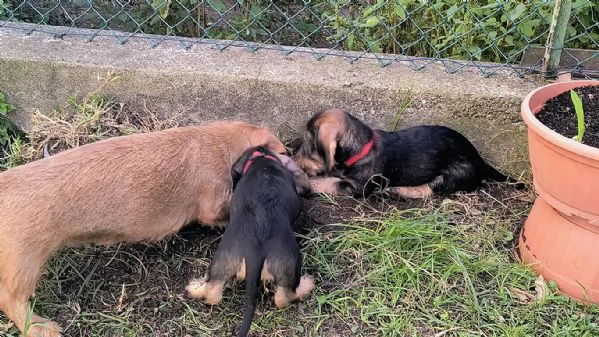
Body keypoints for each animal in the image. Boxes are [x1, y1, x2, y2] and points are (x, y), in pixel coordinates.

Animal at [186, 145, 316, 336]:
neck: (261, 159)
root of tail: (255, 249)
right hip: (289, 263)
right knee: (283, 297)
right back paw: (306, 285)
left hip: (224, 259)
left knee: (213, 291)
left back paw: (194, 288)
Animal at [296, 107, 524, 197]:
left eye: (308, 146)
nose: (294, 159)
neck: (363, 147)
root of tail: (481, 162)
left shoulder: (357, 188)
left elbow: (330, 183)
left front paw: (310, 182)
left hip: (451, 176)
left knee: (428, 191)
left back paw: (396, 190)